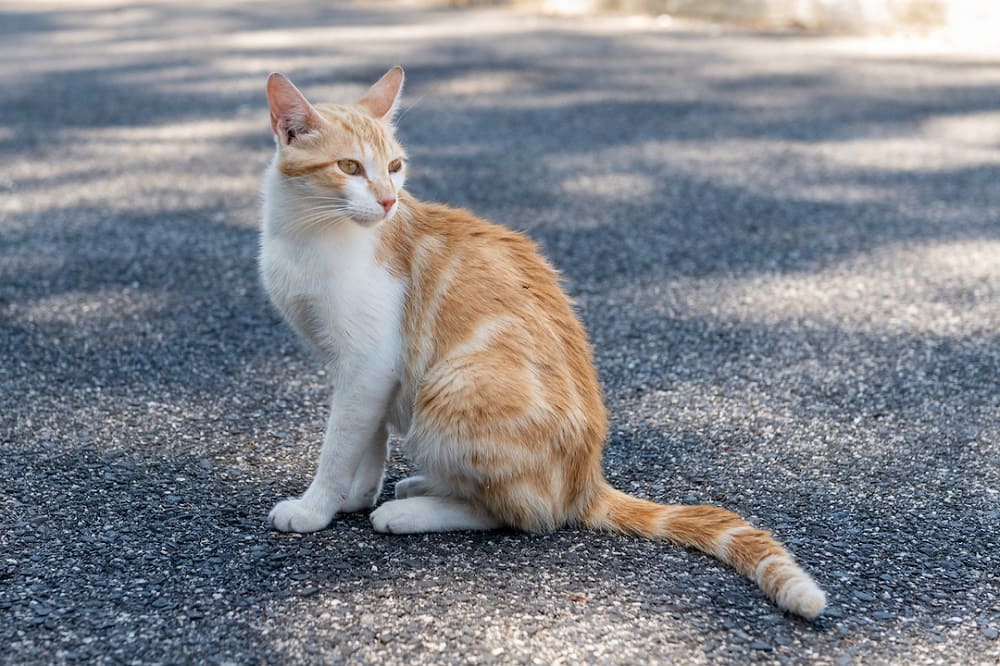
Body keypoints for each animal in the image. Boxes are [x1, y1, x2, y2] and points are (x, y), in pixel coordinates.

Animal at [260, 63, 828, 616]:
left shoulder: (370, 362)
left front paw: (316, 506)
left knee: (523, 515)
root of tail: (586, 480)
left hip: (454, 387)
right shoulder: (360, 371)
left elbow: (339, 445)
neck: (308, 235)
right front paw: (356, 495)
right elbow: (368, 440)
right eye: (350, 167)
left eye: (395, 166)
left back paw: (413, 509)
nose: (387, 201)